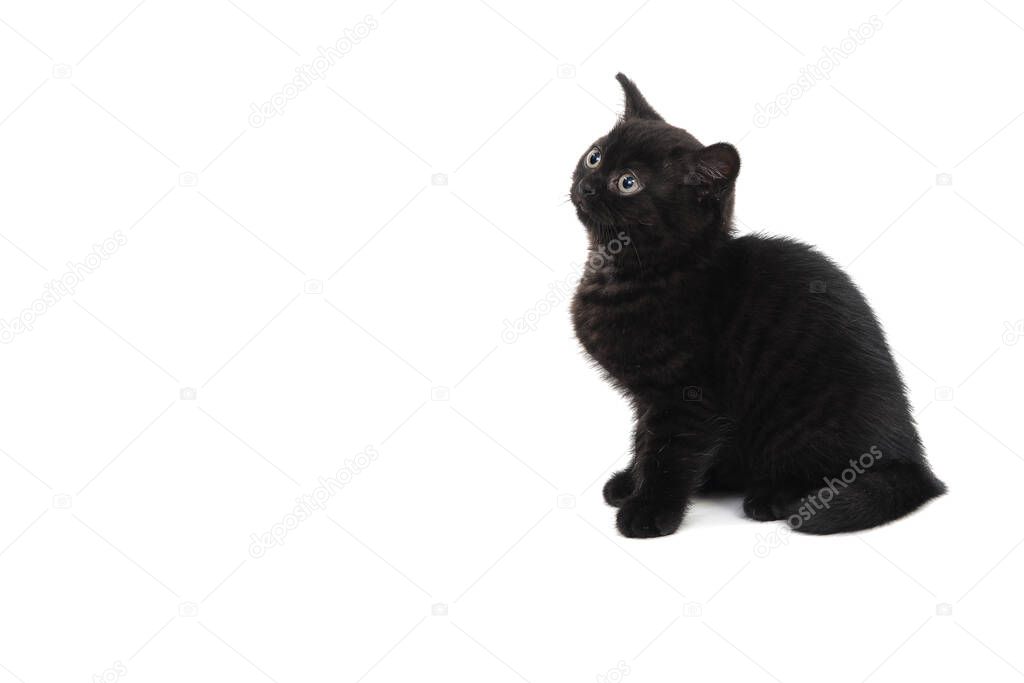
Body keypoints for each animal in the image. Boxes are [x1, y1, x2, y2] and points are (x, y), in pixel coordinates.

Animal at [569, 73, 942, 540]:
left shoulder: (687, 397)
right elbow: (643, 440)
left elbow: (669, 454)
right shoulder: (647, 398)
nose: (586, 185)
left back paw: (775, 498)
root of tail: (914, 464)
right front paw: (631, 483)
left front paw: (649, 511)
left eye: (627, 182)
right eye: (595, 157)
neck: (624, 271)